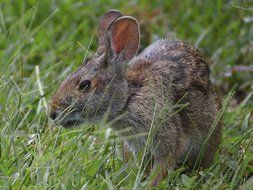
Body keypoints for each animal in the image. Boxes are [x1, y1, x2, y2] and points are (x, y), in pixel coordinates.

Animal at [49, 10, 221, 184]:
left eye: (84, 85)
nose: (52, 113)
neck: (128, 99)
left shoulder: (167, 138)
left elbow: (162, 166)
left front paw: (150, 184)